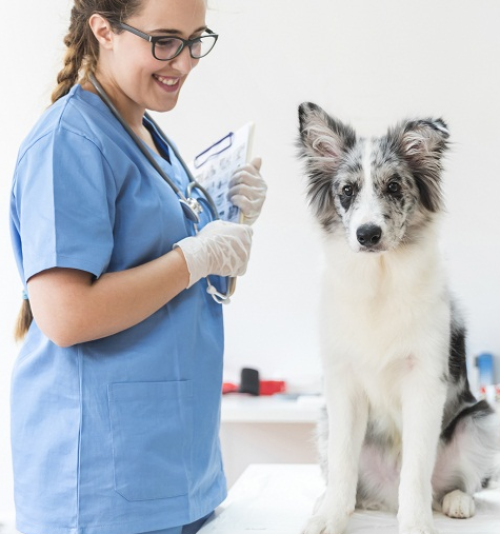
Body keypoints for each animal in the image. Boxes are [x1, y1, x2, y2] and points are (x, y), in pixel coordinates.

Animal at [296, 103, 500, 534]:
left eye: (393, 187)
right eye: (347, 191)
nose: (367, 234)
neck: (380, 279)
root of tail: (384, 499)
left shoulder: (425, 381)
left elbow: (416, 469)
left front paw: (417, 524)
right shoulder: (342, 385)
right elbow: (342, 463)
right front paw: (331, 518)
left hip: (480, 421)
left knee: (460, 483)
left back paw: (457, 501)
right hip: (324, 421)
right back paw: (333, 502)